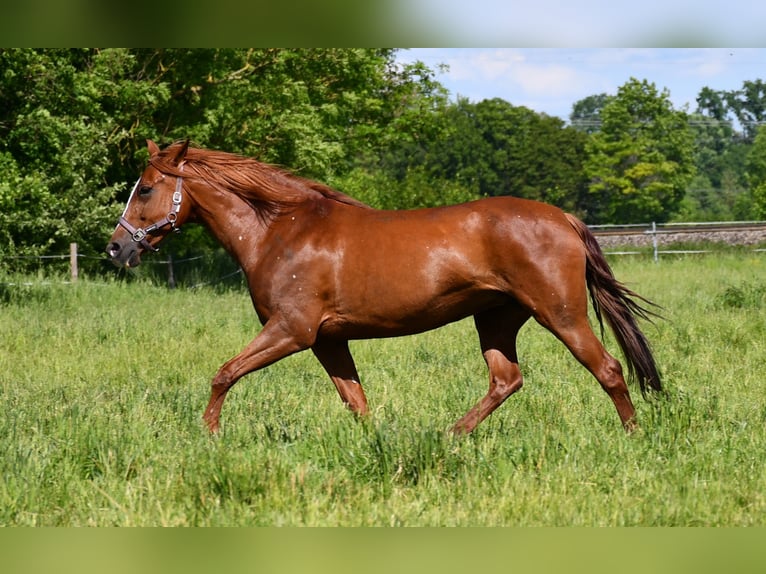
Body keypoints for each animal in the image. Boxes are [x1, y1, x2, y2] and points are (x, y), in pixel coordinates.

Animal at [105, 141, 664, 436]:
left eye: (146, 188)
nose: (116, 248)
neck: (278, 231)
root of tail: (563, 218)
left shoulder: (291, 331)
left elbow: (223, 374)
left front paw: (209, 434)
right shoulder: (328, 340)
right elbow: (355, 401)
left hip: (561, 313)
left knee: (609, 369)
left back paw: (634, 435)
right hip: (496, 318)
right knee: (506, 380)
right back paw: (451, 435)